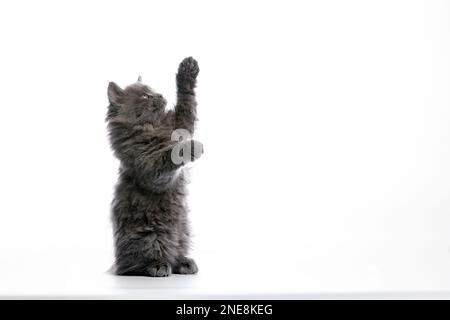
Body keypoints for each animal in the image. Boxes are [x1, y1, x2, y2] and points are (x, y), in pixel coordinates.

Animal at [105, 56, 202, 276]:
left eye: (153, 90)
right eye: (145, 96)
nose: (158, 94)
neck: (154, 127)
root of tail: (117, 265)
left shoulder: (180, 123)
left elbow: (187, 105)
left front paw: (187, 70)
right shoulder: (148, 169)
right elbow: (166, 158)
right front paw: (189, 148)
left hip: (183, 231)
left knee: (176, 252)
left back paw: (184, 263)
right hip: (149, 237)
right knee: (138, 263)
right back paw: (157, 266)